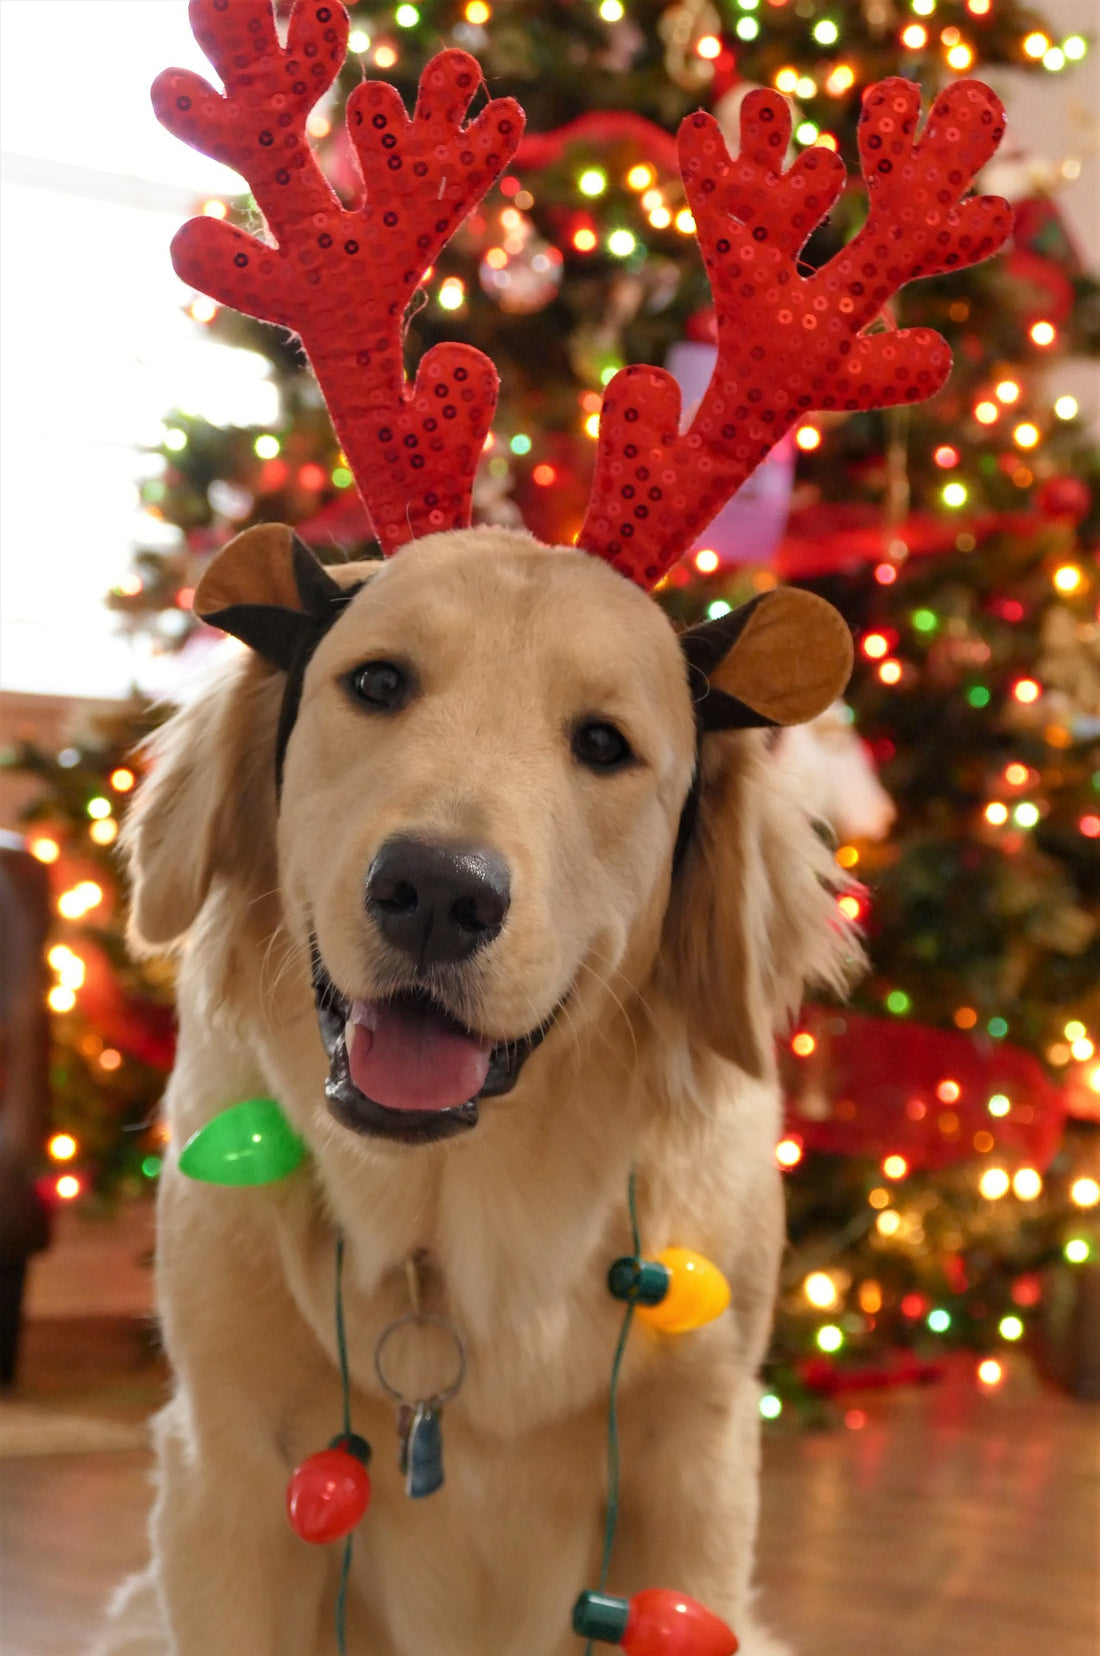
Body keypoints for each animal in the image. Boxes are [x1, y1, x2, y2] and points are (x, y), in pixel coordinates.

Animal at [94, 523, 854, 1656]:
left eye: (603, 744)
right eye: (376, 682)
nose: (437, 892)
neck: (448, 1229)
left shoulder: (695, 1474)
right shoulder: (223, 1468)